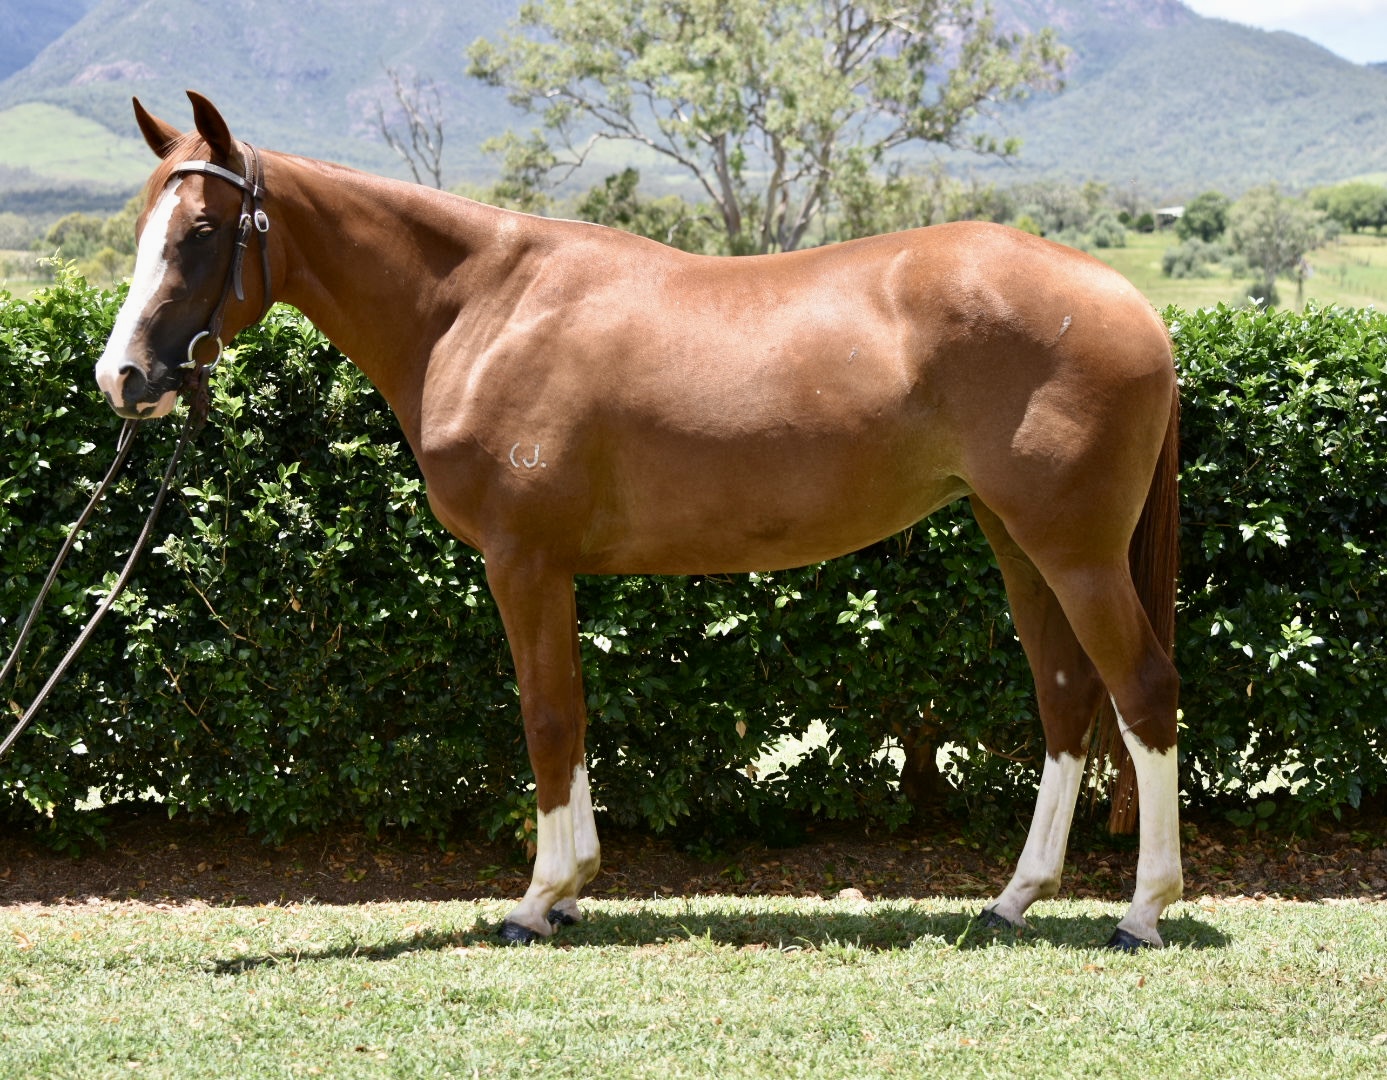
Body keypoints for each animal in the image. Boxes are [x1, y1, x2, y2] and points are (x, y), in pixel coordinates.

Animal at [95, 92, 1183, 949]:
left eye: (201, 233)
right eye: (142, 227)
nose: (123, 377)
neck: (480, 308)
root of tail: (1131, 303)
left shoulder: (523, 561)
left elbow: (546, 716)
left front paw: (540, 899)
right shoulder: (550, 569)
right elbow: (571, 714)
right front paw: (572, 890)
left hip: (1076, 553)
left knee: (1140, 690)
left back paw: (1141, 912)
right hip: (1018, 542)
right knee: (1064, 698)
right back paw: (1013, 899)